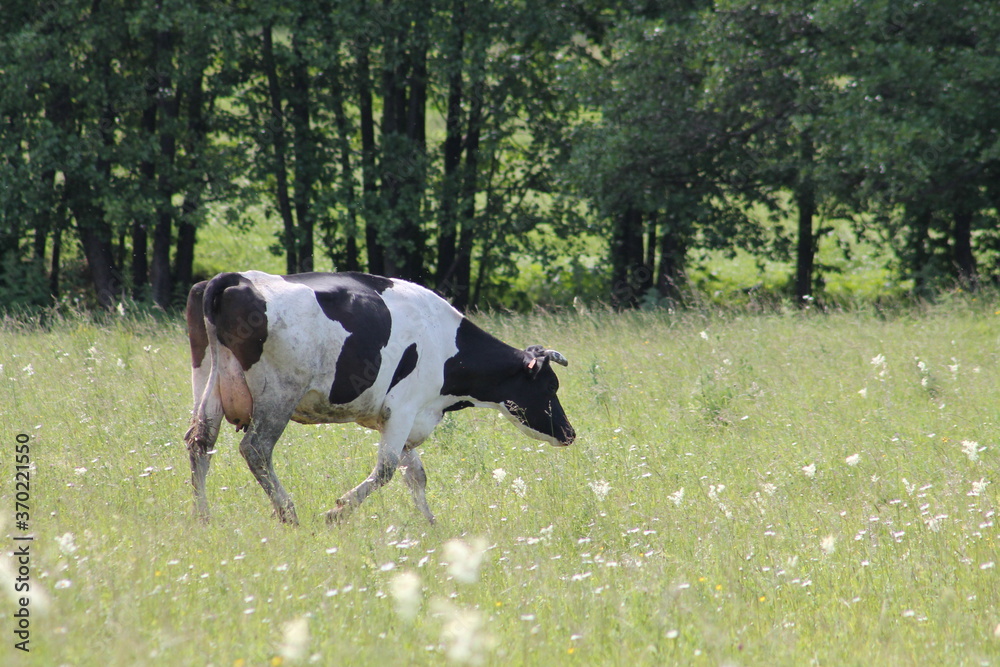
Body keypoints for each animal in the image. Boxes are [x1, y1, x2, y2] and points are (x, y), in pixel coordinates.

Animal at [183, 272, 576, 528]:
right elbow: (386, 470)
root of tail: (237, 278)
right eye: (550, 387)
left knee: (200, 443)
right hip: (278, 392)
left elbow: (416, 475)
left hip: (207, 382)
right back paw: (289, 513)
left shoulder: (401, 418)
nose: (570, 433)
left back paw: (203, 517)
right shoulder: (403, 409)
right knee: (256, 449)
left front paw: (430, 523)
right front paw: (337, 512)